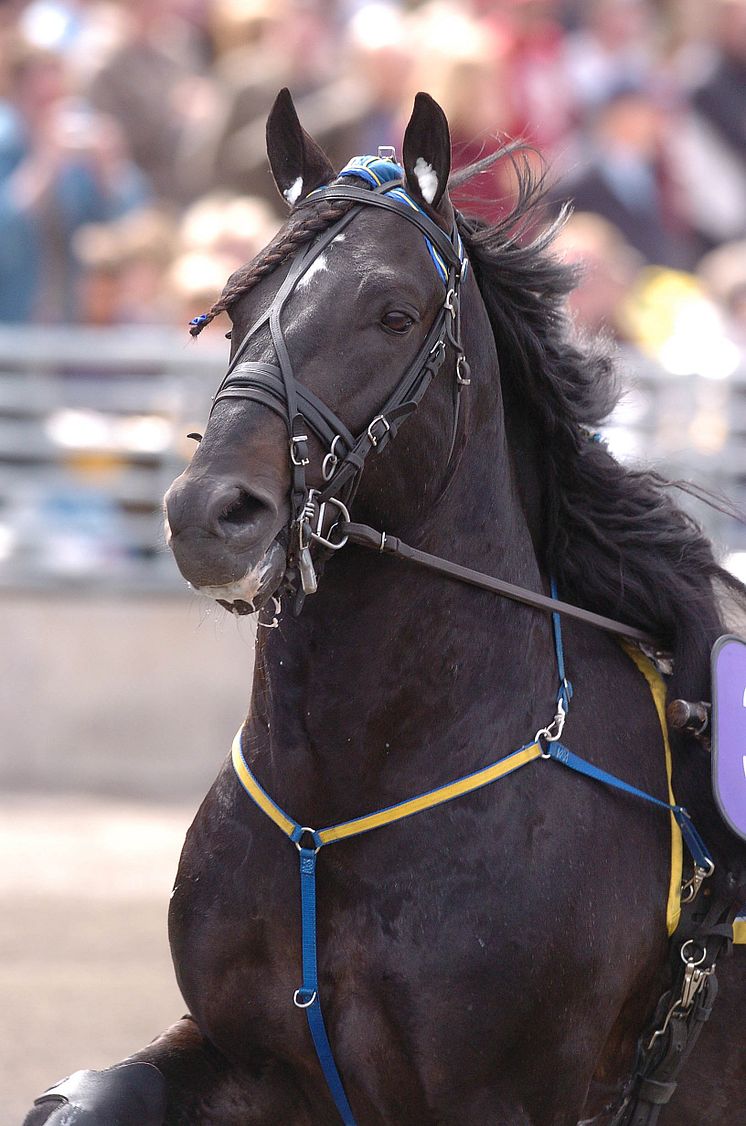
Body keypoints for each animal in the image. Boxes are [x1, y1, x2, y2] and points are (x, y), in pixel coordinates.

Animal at [23, 94, 746, 1126]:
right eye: (241, 311)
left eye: (394, 315)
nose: (210, 512)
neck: (341, 801)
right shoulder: (249, 1055)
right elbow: (84, 1097)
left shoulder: (499, 1093)